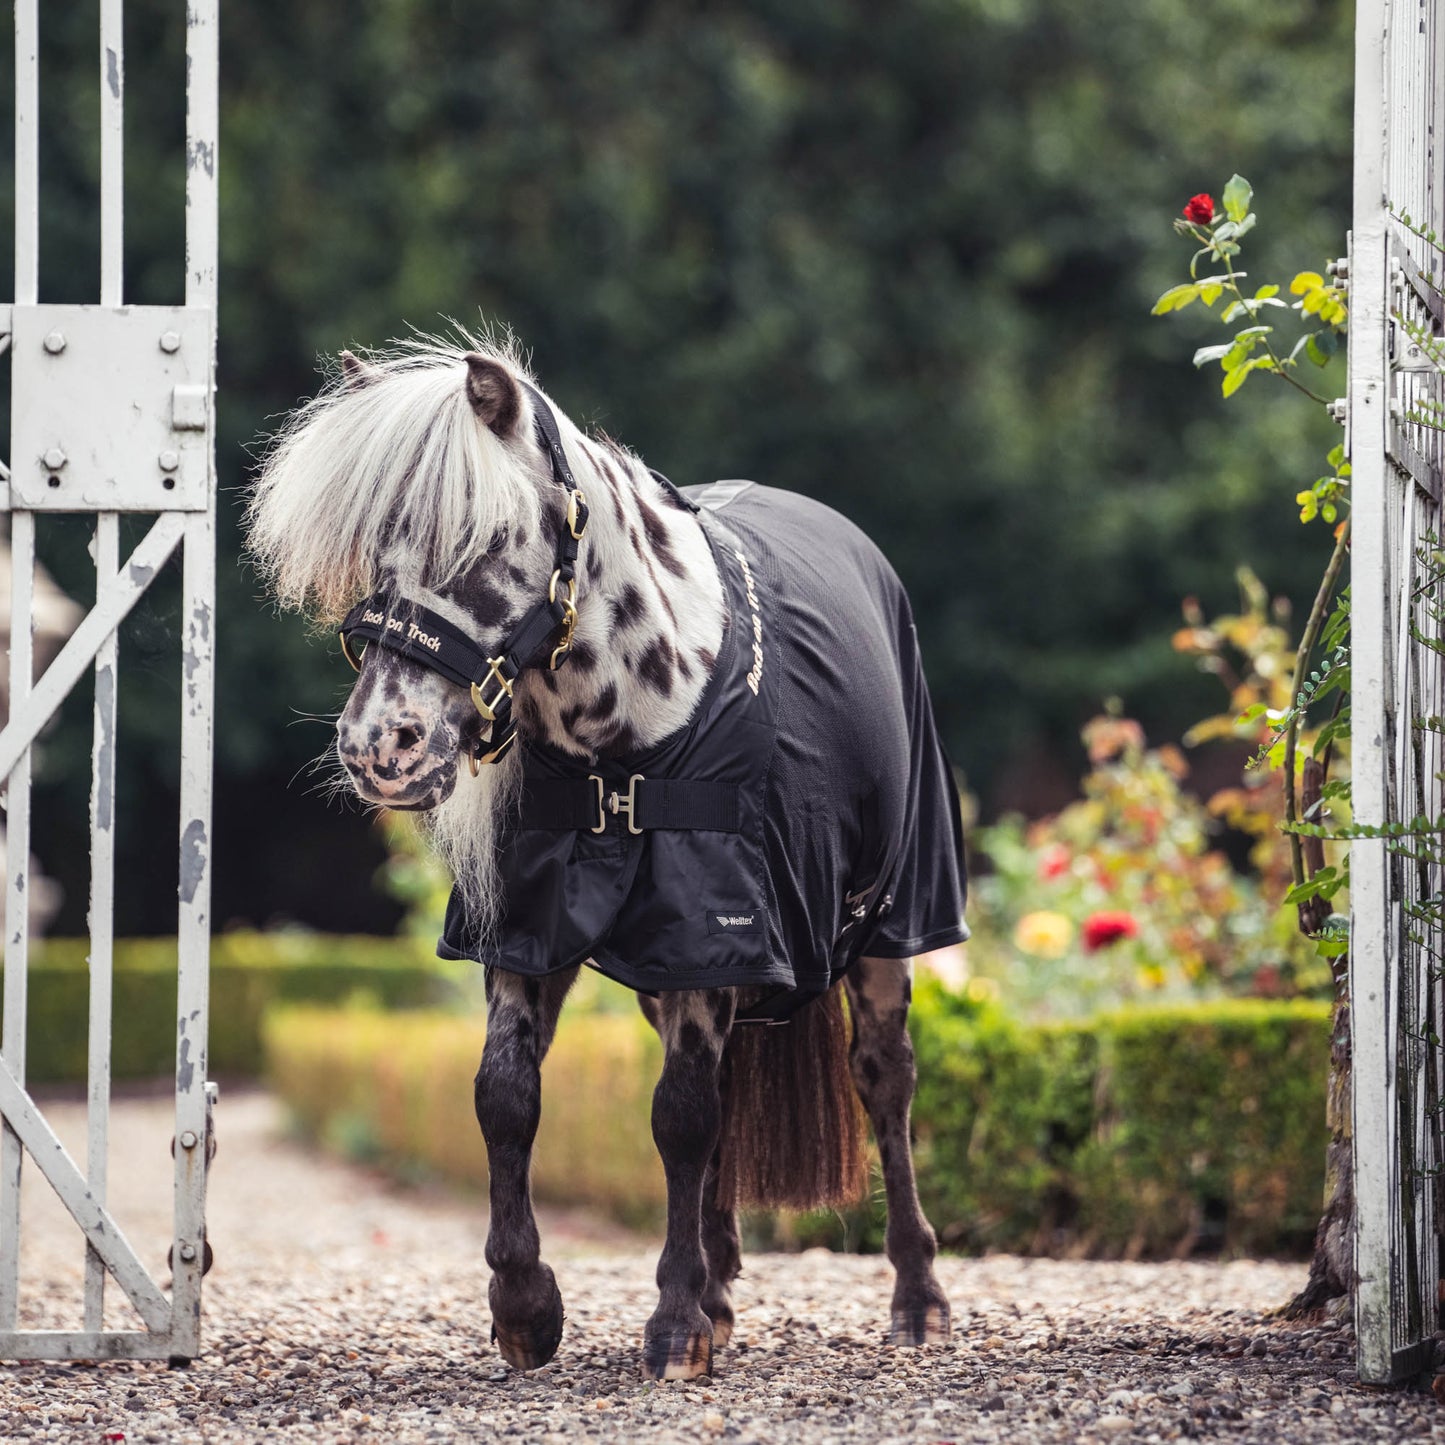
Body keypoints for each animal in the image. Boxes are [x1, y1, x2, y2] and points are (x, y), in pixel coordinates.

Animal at [245, 332, 971, 1381]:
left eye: (486, 542)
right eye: (377, 553)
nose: (381, 746)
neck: (622, 737)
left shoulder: (710, 927)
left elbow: (679, 1115)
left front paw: (671, 1325)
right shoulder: (534, 931)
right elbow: (508, 1097)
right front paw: (526, 1307)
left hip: (884, 927)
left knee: (883, 1078)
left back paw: (916, 1298)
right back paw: (720, 1287)